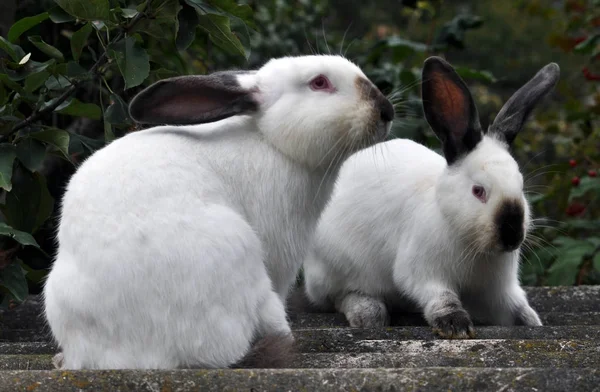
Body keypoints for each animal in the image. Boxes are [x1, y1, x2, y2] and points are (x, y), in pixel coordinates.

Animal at [44, 53, 396, 370]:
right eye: (319, 82)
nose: (386, 111)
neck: (270, 140)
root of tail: (149, 357)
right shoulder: (282, 254)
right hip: (240, 253)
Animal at [304, 56, 564, 338]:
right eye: (478, 191)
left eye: (521, 184)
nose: (512, 235)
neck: (472, 244)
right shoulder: (423, 272)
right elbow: (441, 298)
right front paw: (456, 326)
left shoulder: (499, 290)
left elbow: (516, 307)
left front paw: (531, 322)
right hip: (336, 267)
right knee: (339, 296)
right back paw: (368, 313)